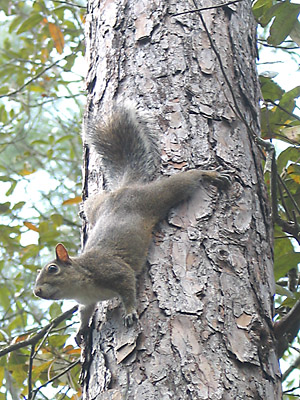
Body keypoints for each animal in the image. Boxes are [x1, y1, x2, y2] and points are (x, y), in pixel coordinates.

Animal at [34, 106, 232, 344]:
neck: (82, 281)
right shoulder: (88, 300)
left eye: (52, 269)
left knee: (188, 178)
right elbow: (85, 313)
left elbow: (128, 288)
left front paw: (129, 313)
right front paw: (81, 331)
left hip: (157, 195)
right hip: (97, 207)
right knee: (90, 204)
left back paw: (211, 175)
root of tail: (125, 189)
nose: (36, 292)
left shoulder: (115, 271)